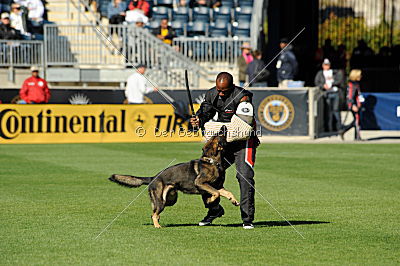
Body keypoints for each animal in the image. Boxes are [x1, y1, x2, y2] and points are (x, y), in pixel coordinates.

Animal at [108, 125, 239, 228]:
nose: (224, 126)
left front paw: (234, 200)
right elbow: (216, 194)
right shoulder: (201, 183)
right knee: (154, 214)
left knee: (154, 212)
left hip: (170, 200)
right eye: (219, 134)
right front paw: (210, 200)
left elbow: (227, 193)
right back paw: (157, 226)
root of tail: (153, 177)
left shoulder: (218, 186)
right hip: (161, 201)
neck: (213, 162)